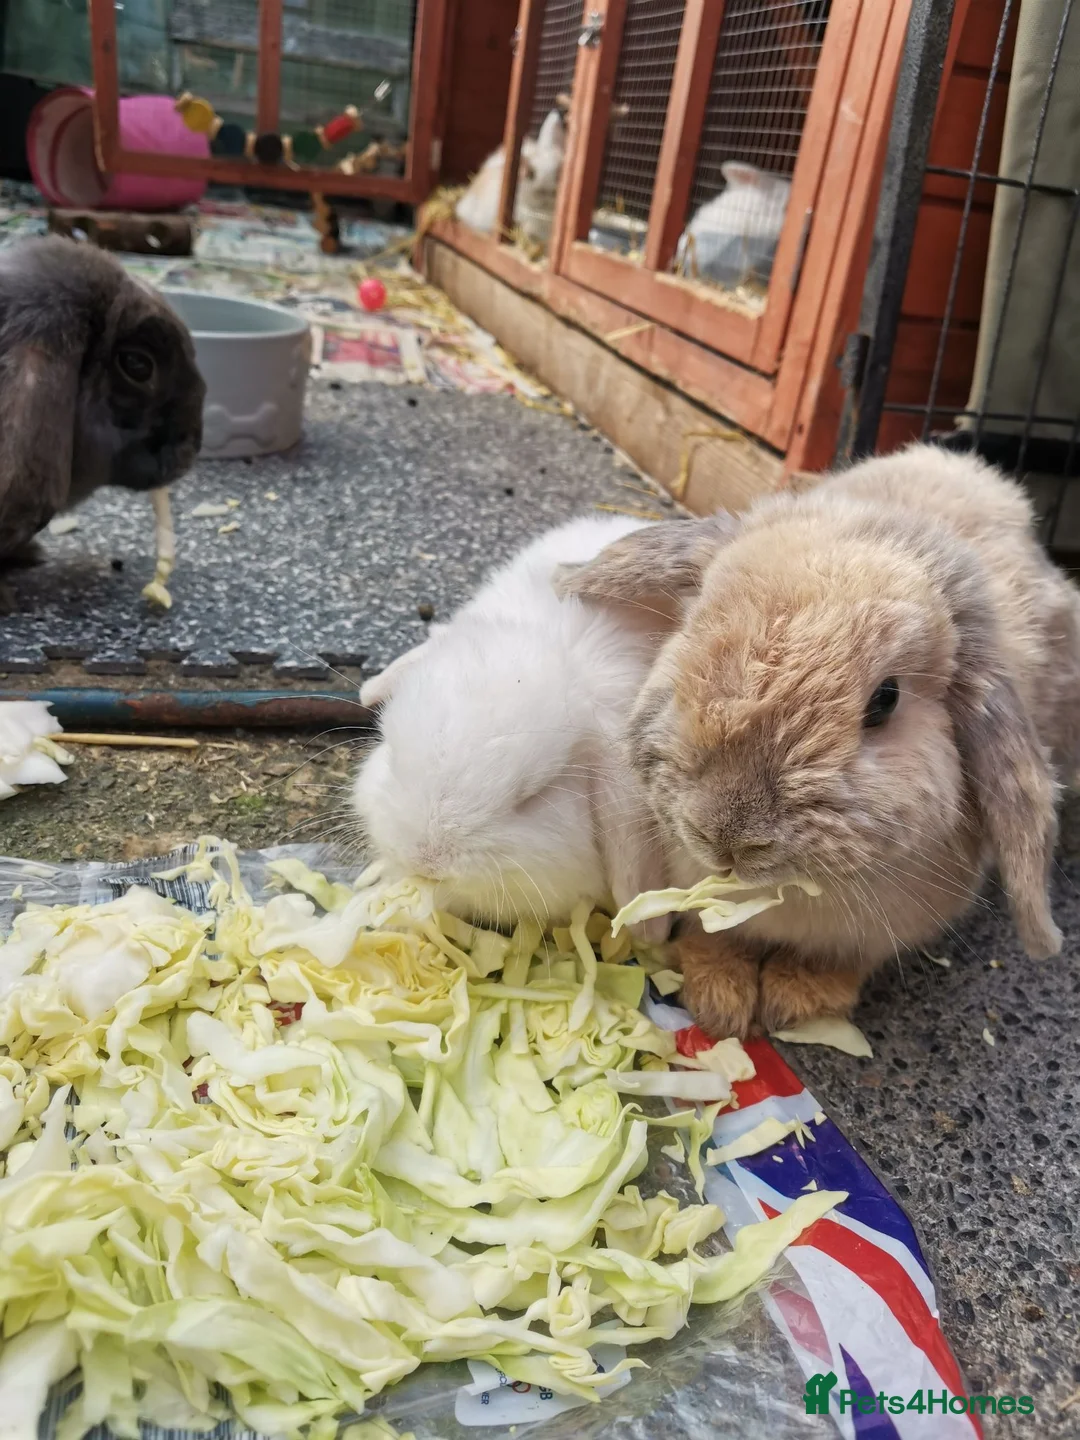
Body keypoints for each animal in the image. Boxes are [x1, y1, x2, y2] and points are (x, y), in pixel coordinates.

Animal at [556, 444, 1080, 1038]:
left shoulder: (881, 933)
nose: (727, 837)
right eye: (690, 632)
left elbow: (838, 962)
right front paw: (718, 999)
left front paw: (796, 1000)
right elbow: (714, 936)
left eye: (885, 700)